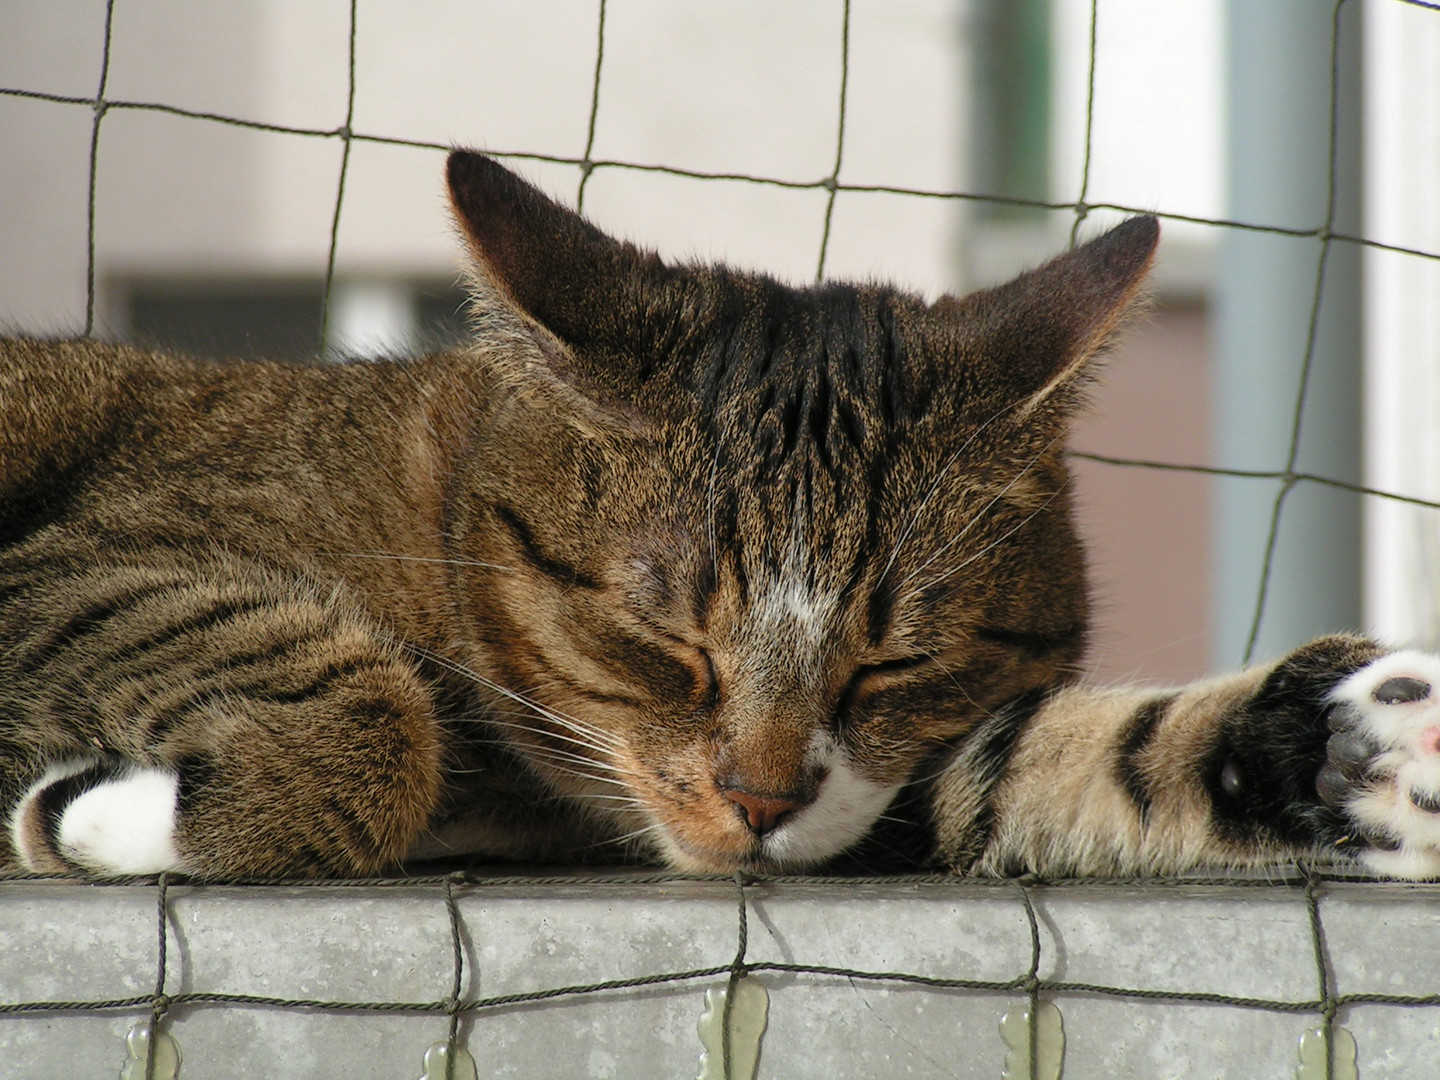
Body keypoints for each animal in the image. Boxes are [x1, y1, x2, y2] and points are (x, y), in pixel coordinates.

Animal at [2, 150, 1440, 881]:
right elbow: (371, 713)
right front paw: (100, 817)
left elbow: (1062, 754)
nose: (759, 803)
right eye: (667, 647)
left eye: (895, 665)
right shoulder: (71, 561)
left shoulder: (889, 785)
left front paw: (1344, 748)